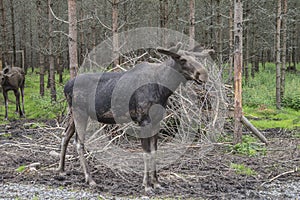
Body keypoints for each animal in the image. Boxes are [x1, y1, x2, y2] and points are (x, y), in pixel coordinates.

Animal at [57, 43, 210, 193]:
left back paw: (61, 170)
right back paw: (90, 179)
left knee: (65, 135)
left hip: (73, 114)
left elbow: (154, 152)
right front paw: (147, 185)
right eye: (182, 60)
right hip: (80, 114)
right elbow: (146, 153)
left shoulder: (156, 122)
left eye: (196, 57)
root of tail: (65, 87)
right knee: (78, 143)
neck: (163, 89)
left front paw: (156, 183)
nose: (204, 74)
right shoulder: (143, 120)